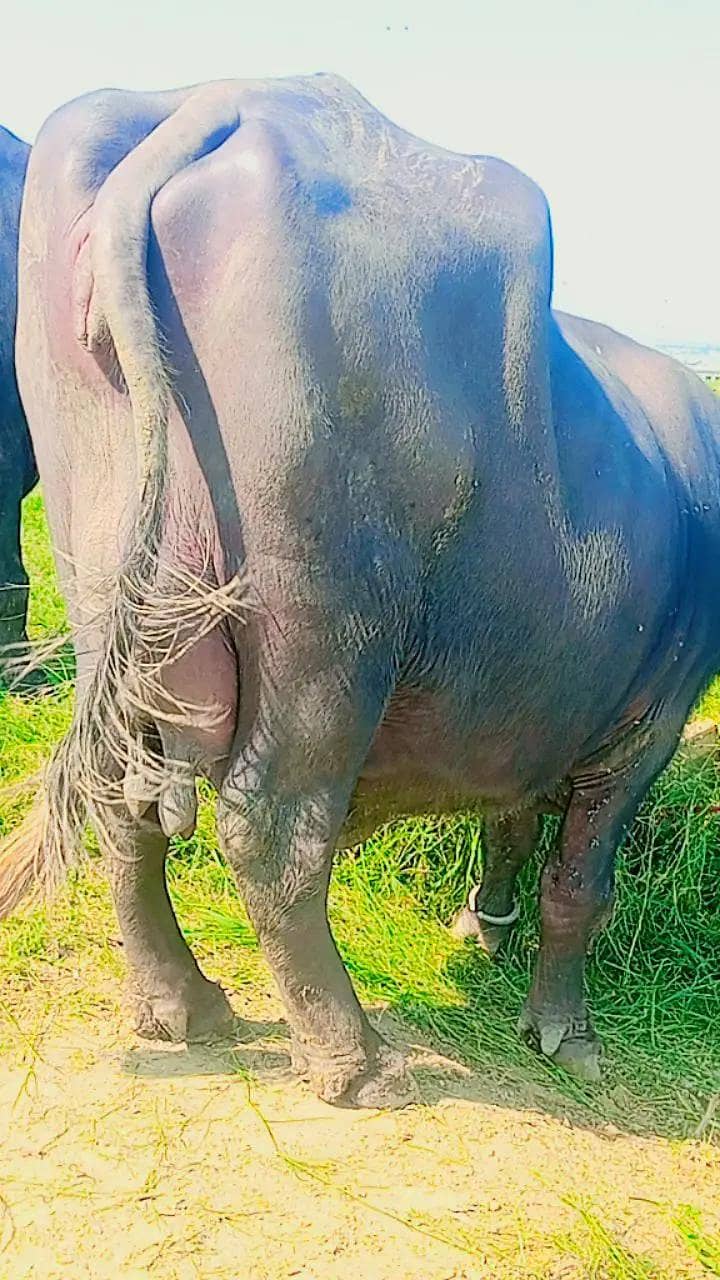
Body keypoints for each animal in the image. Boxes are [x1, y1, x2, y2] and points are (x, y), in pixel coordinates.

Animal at [2, 75, 718, 1107]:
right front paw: (566, 1032)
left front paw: (484, 925)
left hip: (106, 591)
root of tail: (223, 103)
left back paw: (180, 1005)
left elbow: (508, 823)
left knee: (119, 804)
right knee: (272, 828)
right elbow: (580, 882)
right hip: (327, 637)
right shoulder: (650, 722)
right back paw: (356, 1059)